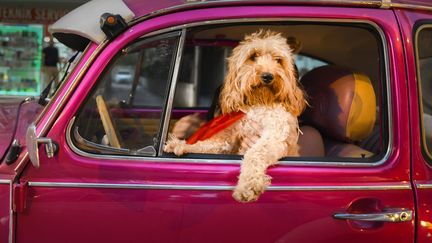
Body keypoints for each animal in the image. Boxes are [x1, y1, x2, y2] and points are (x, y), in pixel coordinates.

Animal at [164, 29, 306, 202]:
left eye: (278, 60)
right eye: (253, 56)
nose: (268, 76)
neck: (259, 102)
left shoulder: (274, 137)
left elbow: (254, 154)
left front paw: (248, 186)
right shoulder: (228, 140)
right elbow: (207, 144)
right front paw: (181, 144)